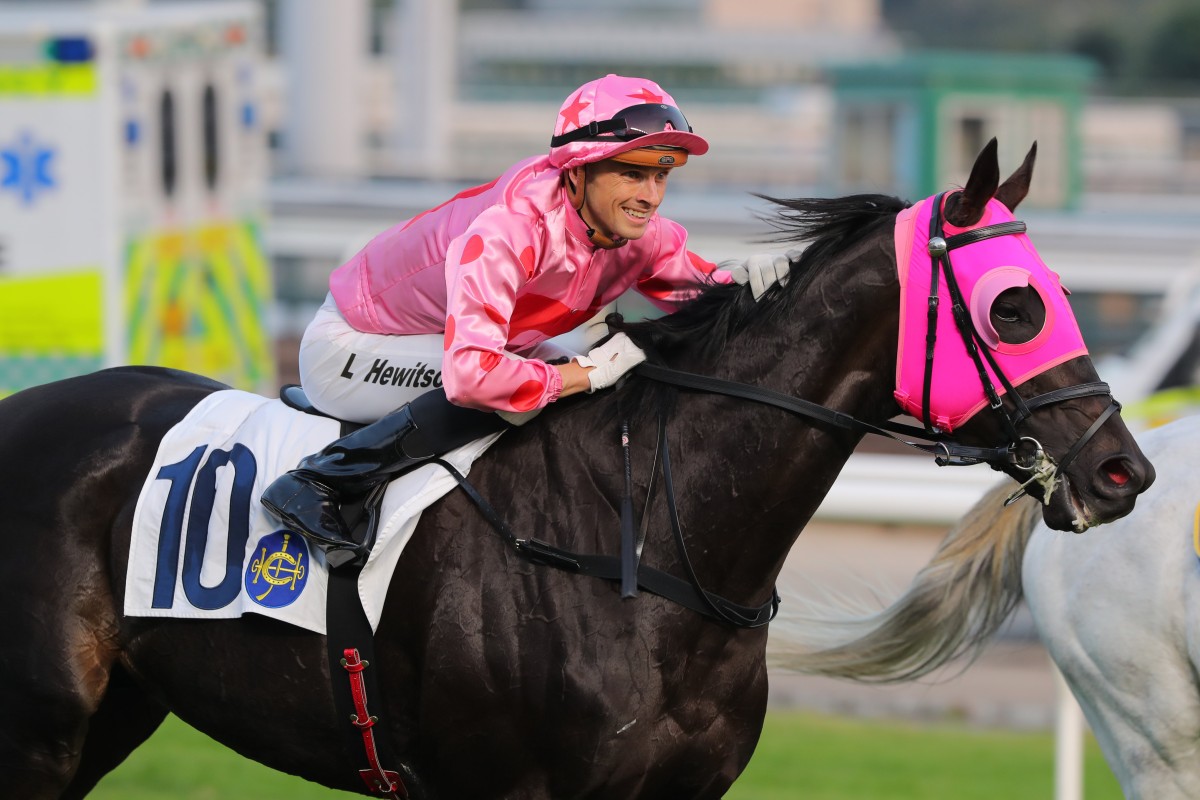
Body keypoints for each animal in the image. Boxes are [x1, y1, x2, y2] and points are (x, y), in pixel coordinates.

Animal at [4, 140, 1156, 796]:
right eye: (1017, 306)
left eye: (1060, 291)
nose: (1122, 471)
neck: (649, 543)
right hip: (42, 728)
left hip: (111, 714)